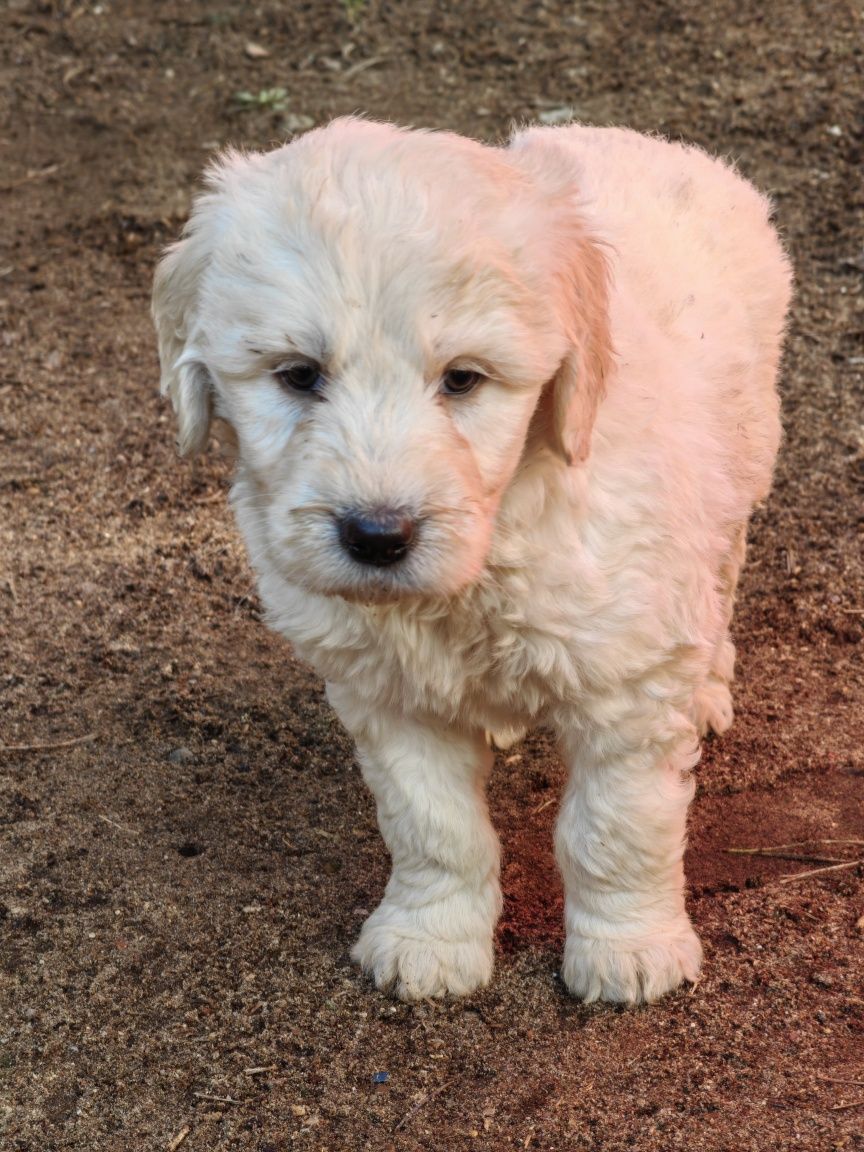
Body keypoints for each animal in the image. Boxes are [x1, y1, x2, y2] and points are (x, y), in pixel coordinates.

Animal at [154, 116, 792, 999]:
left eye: (463, 380)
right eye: (298, 376)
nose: (377, 536)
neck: (487, 553)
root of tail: (644, 139)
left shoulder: (629, 684)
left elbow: (614, 826)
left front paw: (629, 949)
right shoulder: (387, 693)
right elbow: (433, 826)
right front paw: (430, 939)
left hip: (739, 470)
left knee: (721, 580)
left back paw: (710, 688)